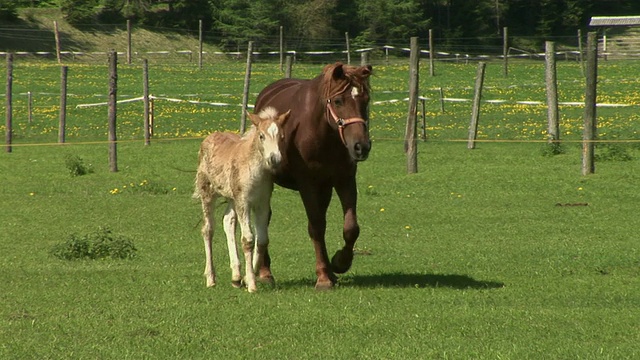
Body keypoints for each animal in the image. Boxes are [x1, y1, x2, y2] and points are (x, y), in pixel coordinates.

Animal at [191, 107, 288, 292]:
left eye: (282, 136)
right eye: (261, 136)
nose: (275, 159)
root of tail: (208, 138)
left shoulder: (262, 203)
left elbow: (262, 240)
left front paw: (245, 277)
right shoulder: (244, 202)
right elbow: (248, 239)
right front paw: (252, 284)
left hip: (232, 198)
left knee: (228, 221)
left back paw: (236, 276)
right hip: (208, 193)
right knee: (208, 229)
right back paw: (211, 278)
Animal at [252, 60, 372, 288]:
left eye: (366, 100)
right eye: (338, 101)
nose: (361, 147)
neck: (324, 133)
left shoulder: (344, 180)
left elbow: (351, 227)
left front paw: (339, 263)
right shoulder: (307, 184)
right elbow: (316, 227)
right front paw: (323, 277)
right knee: (264, 218)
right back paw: (265, 272)